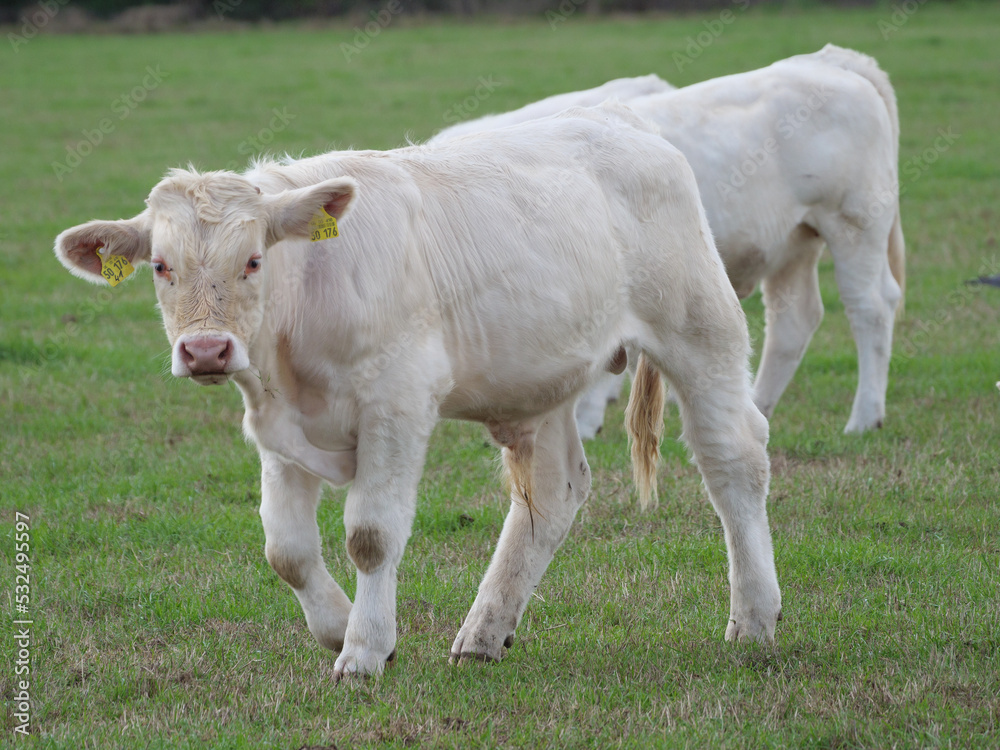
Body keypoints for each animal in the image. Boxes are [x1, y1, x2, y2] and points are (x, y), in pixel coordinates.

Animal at [52, 101, 780, 680]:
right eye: (161, 266)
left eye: (254, 260)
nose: (206, 350)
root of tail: (626, 125)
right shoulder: (277, 428)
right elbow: (286, 550)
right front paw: (336, 627)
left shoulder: (396, 405)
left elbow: (371, 535)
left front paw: (364, 651)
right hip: (544, 378)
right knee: (552, 494)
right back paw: (484, 633)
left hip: (700, 327)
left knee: (734, 461)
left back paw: (754, 620)